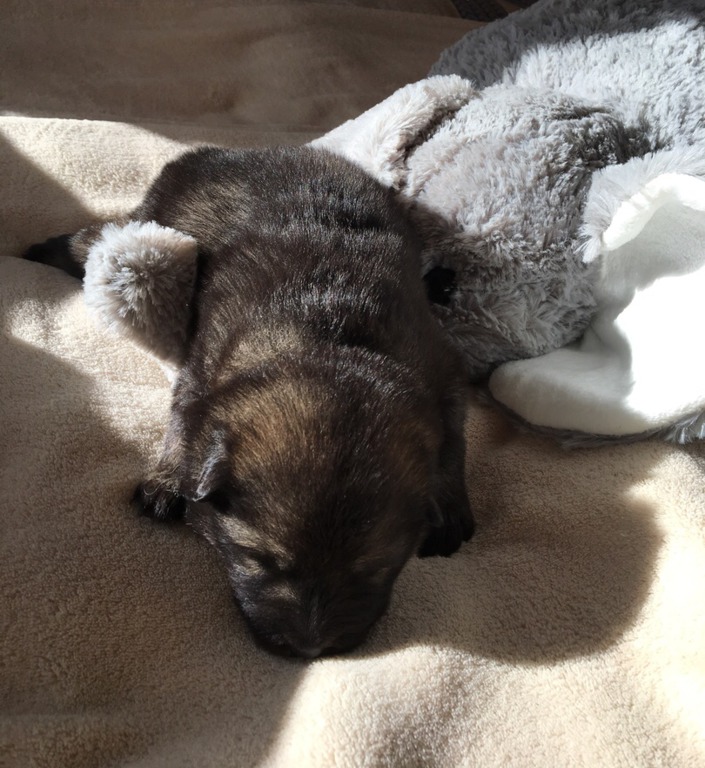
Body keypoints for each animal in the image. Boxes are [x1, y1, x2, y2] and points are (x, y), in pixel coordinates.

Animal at [25, 145, 474, 657]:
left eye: (375, 569)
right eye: (258, 559)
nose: (309, 650)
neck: (333, 341)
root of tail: (227, 151)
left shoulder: (444, 366)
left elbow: (454, 439)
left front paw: (451, 508)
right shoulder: (203, 364)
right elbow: (182, 420)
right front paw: (165, 480)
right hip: (154, 215)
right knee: (94, 238)